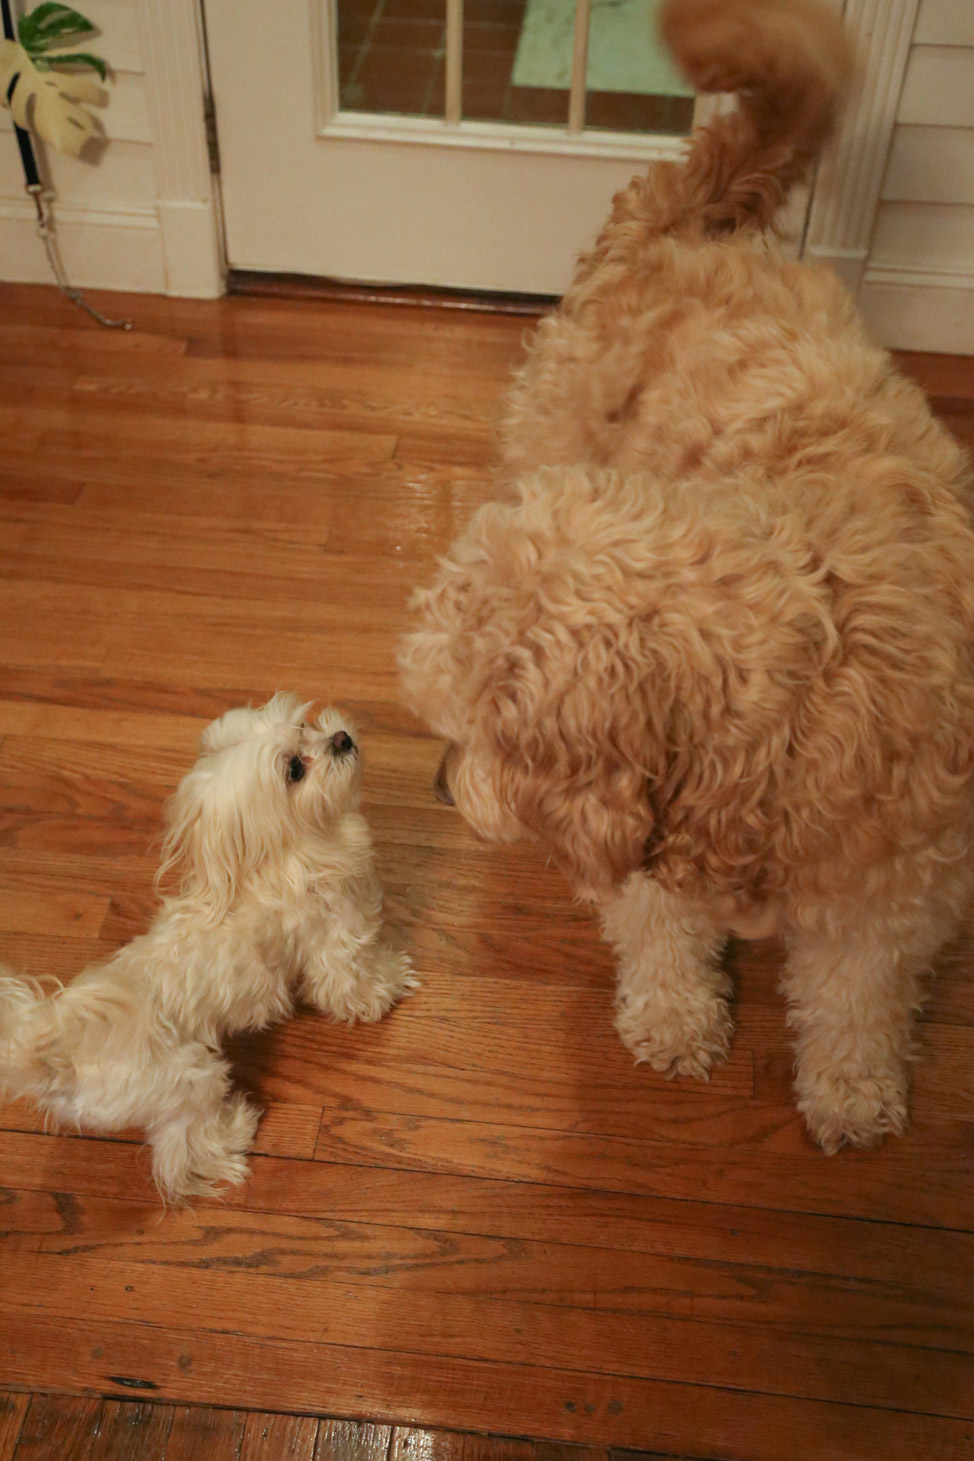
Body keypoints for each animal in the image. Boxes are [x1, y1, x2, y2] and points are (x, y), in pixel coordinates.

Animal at [0, 692, 414, 1198]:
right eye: (295, 769)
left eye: (304, 725)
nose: (341, 738)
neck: (285, 852)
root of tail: (59, 1061)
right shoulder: (335, 939)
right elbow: (352, 980)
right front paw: (389, 986)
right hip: (191, 1082)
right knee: (182, 1154)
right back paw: (235, 1132)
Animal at [400, 0, 974, 1151]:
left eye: (488, 733)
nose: (439, 785)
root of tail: (684, 217)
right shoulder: (655, 853)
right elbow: (664, 935)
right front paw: (673, 1022)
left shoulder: (893, 893)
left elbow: (857, 998)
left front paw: (851, 1090)